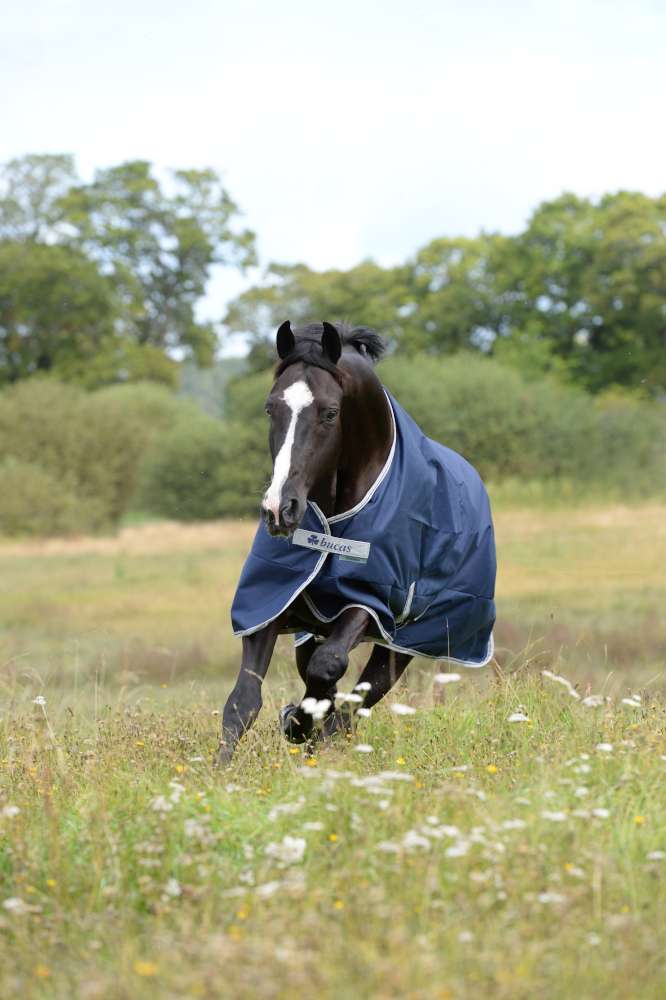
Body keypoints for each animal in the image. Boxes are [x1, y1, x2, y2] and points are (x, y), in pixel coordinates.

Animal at [218, 321, 496, 764]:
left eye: (330, 412)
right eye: (270, 408)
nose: (279, 510)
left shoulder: (370, 599)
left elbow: (329, 667)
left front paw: (299, 721)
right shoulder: (271, 599)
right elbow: (243, 700)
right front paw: (221, 768)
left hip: (403, 643)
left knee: (361, 696)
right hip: (314, 628)